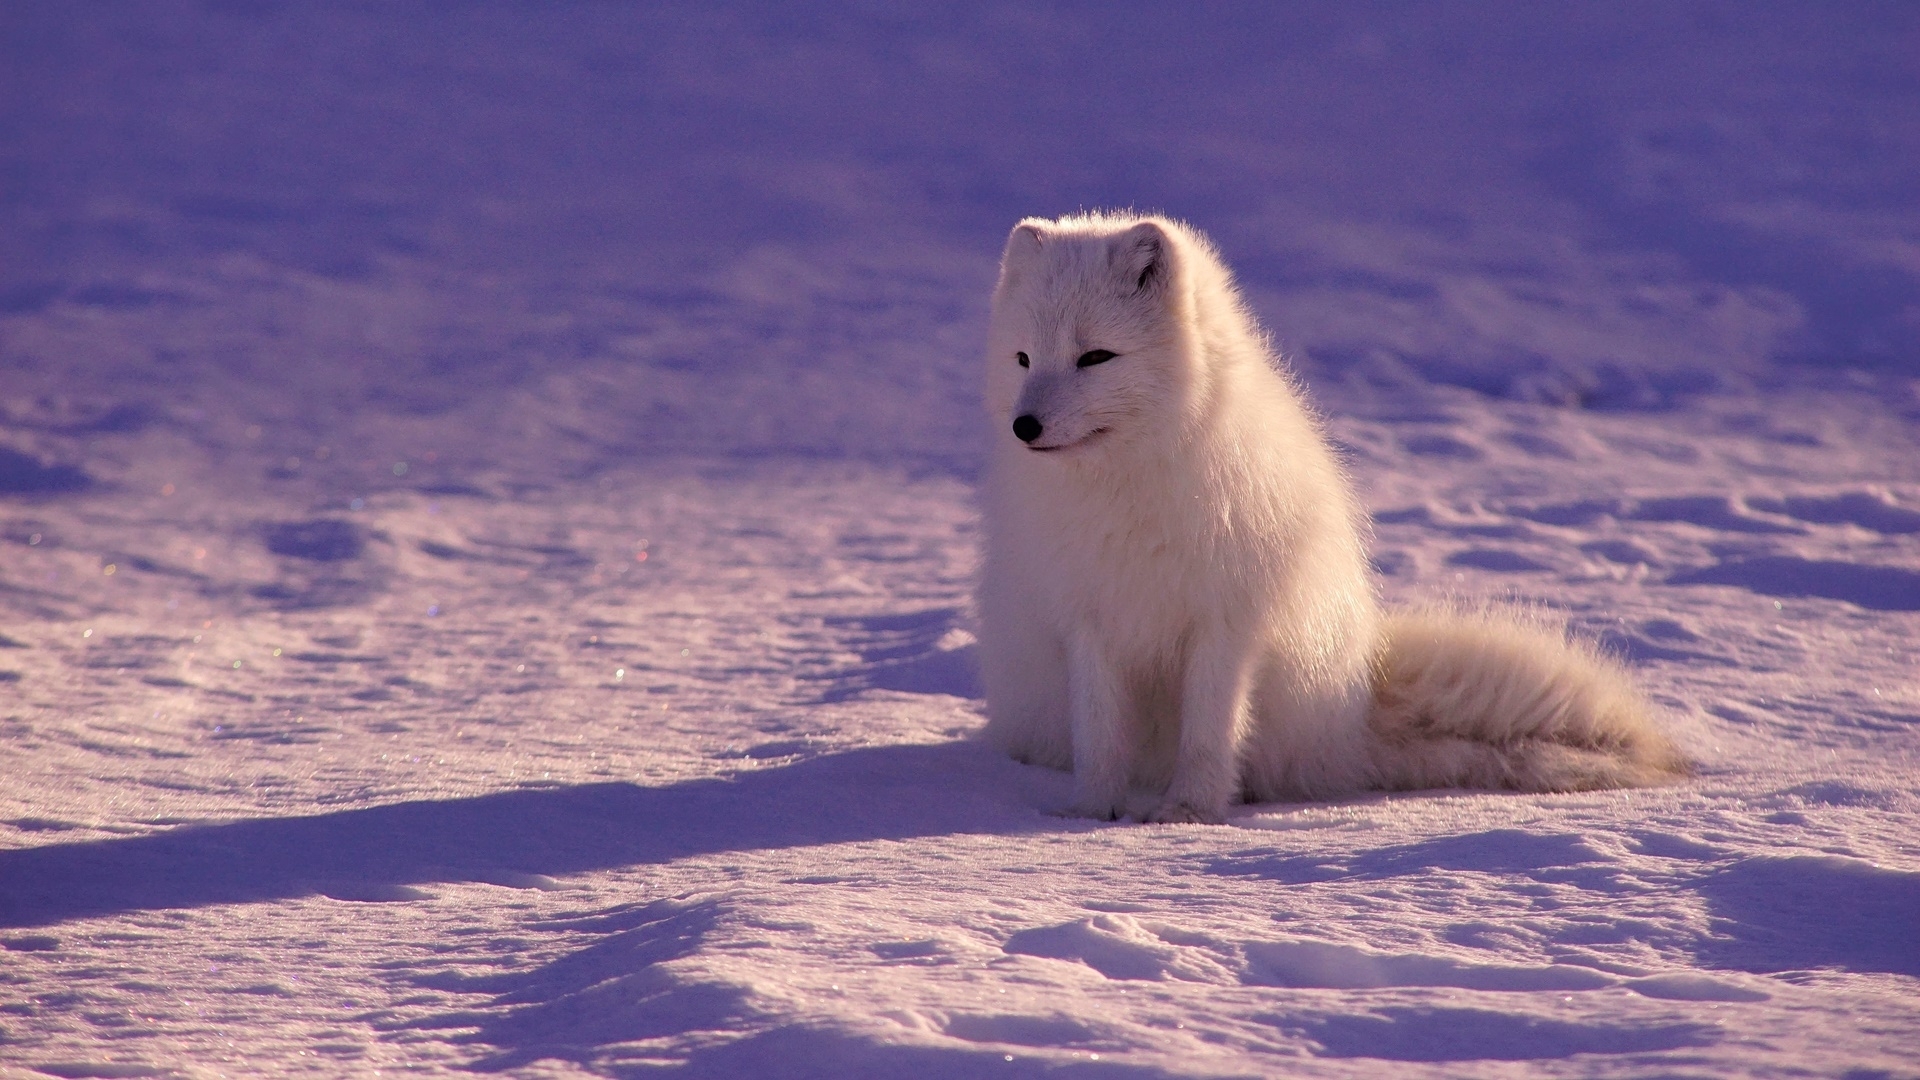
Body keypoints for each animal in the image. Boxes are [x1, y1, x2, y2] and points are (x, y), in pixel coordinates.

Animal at [976, 211, 1688, 823]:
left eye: (1096, 357)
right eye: (1023, 359)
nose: (1024, 426)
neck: (1126, 489)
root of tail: (1354, 716)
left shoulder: (1226, 621)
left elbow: (1208, 732)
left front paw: (1188, 812)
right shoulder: (1087, 621)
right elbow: (1099, 736)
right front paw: (1091, 812)